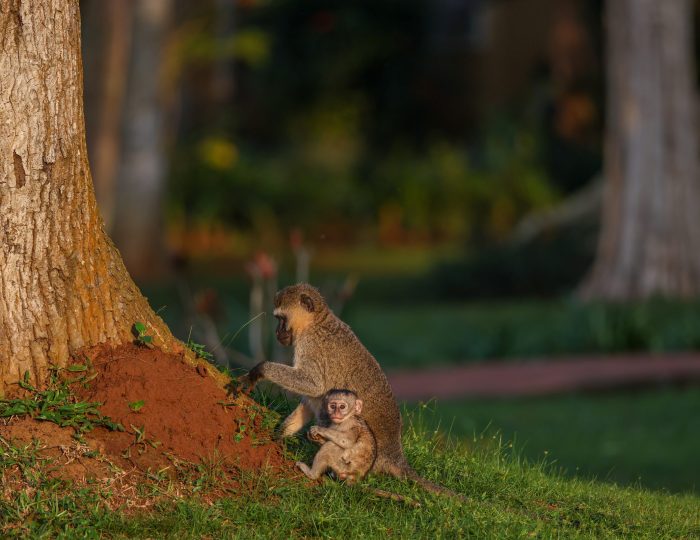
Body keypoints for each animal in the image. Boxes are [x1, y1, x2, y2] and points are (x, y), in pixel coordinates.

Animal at [240, 283, 463, 499]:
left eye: (281, 319)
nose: (278, 332)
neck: (316, 323)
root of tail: (394, 454)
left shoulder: (310, 346)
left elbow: (314, 385)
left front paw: (260, 369)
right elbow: (309, 402)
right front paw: (278, 437)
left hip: (358, 457)